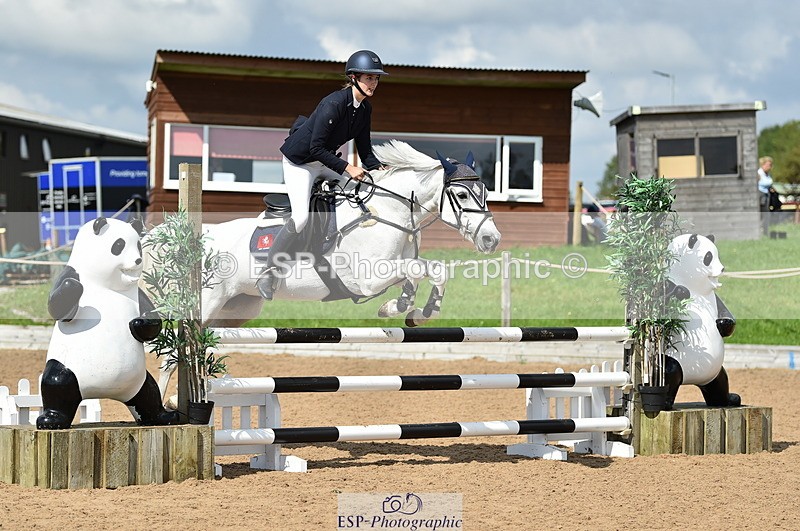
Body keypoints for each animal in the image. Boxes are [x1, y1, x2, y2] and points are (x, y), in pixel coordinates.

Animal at [151, 140, 502, 397]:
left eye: (485, 192)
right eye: (460, 194)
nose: (491, 239)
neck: (387, 214)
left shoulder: (398, 266)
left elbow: (434, 270)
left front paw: (419, 312)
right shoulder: (369, 278)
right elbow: (415, 272)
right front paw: (397, 306)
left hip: (236, 309)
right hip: (207, 301)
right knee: (172, 357)